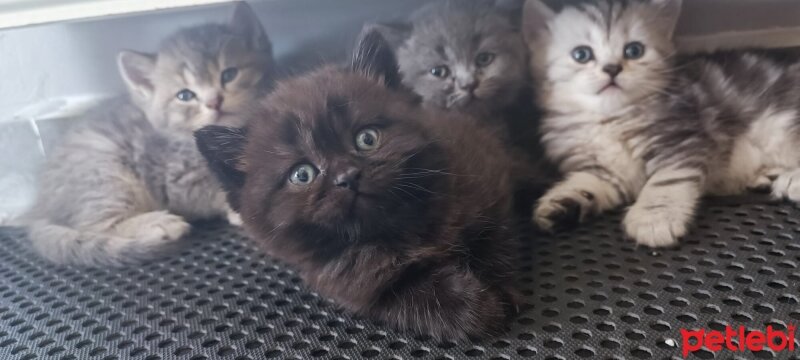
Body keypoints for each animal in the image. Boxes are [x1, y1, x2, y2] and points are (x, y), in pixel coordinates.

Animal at [23, 3, 274, 268]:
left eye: (229, 74)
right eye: (185, 95)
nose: (213, 101)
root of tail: (40, 207)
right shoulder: (176, 180)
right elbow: (214, 190)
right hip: (104, 172)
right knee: (95, 226)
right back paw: (157, 223)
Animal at [520, 0, 800, 246]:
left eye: (634, 50)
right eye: (581, 54)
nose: (612, 68)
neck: (609, 119)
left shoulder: (681, 140)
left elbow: (664, 182)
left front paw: (654, 219)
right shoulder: (606, 172)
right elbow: (585, 184)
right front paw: (559, 204)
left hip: (782, 125)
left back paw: (790, 180)